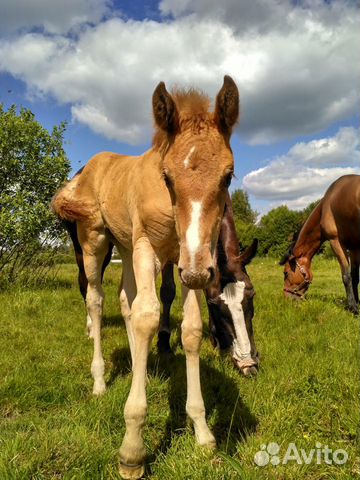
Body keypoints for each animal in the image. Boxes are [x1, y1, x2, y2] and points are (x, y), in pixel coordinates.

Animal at [52, 77, 240, 478]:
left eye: (228, 176)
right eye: (167, 177)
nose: (199, 273)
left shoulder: (187, 258)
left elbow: (190, 328)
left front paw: (202, 432)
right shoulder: (149, 251)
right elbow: (148, 315)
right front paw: (132, 450)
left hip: (124, 246)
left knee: (125, 301)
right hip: (95, 242)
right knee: (96, 300)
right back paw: (99, 381)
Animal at [158, 193, 258, 376]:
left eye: (252, 294)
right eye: (214, 305)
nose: (248, 363)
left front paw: (216, 340)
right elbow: (168, 291)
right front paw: (163, 342)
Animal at [282, 173, 360, 316]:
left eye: (286, 273)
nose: (286, 298)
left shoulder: (336, 242)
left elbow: (346, 276)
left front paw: (353, 307)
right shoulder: (354, 247)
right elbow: (355, 276)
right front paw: (357, 303)